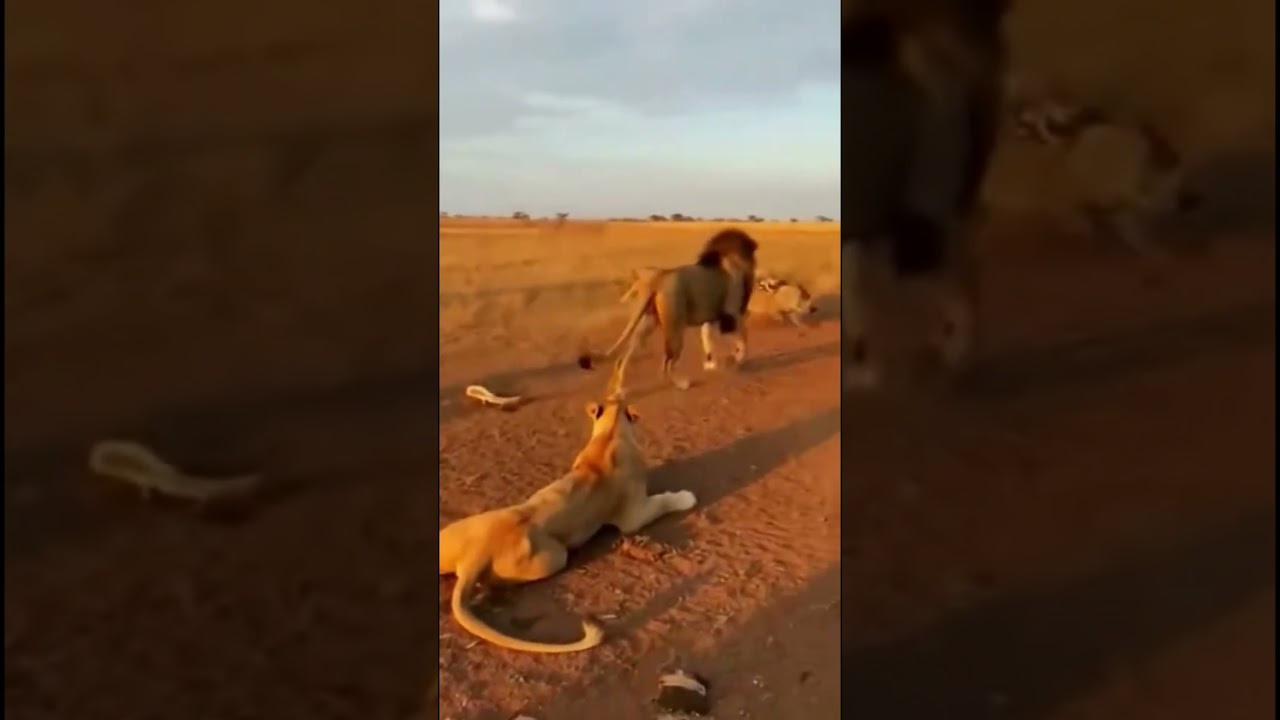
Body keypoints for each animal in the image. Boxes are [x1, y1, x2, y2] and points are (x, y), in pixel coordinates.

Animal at [439, 394, 697, 654]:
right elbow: (662, 502)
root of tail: (475, 557)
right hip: (554, 557)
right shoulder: (633, 515)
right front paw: (686, 498)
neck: (609, 434)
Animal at [579, 228, 758, 394]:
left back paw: (619, 390)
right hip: (675, 327)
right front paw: (735, 358)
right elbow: (743, 337)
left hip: (646, 324)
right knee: (667, 364)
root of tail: (658, 279)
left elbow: (708, 337)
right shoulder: (731, 315)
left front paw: (712, 363)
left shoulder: (713, 317)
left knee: (623, 358)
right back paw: (682, 384)